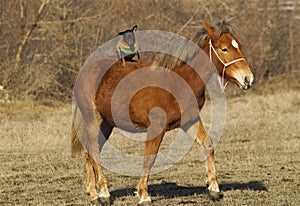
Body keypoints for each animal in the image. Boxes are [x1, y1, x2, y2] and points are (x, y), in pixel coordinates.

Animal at [70, 18, 253, 204]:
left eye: (238, 46)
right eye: (224, 49)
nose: (248, 78)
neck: (178, 80)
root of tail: (83, 72)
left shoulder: (190, 121)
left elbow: (208, 145)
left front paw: (214, 189)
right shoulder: (157, 127)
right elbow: (150, 159)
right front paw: (144, 195)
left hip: (106, 124)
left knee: (90, 152)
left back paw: (94, 194)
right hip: (94, 120)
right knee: (93, 151)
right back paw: (104, 194)